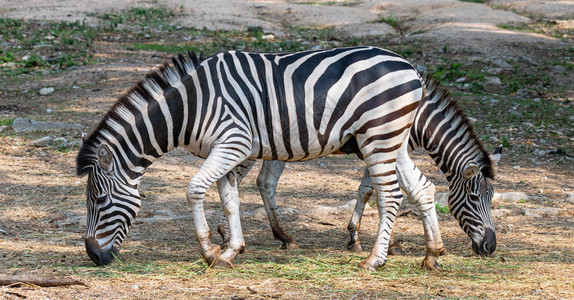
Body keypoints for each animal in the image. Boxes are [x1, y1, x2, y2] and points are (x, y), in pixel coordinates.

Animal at [218, 80, 502, 270]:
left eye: (491, 198)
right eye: (474, 199)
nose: (490, 247)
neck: (419, 118)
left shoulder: (381, 150)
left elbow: (369, 190)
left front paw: (366, 238)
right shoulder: (381, 149)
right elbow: (373, 191)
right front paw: (369, 240)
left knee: (263, 182)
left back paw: (278, 237)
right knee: (241, 177)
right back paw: (229, 234)